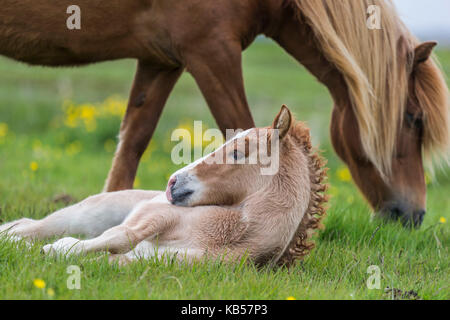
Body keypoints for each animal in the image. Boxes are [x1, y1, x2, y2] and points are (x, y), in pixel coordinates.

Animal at [0, 0, 448, 226]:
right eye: (414, 119)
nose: (414, 215)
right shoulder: (211, 50)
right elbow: (243, 128)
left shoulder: (162, 60)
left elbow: (133, 139)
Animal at [1, 107, 328, 268]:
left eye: (237, 152)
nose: (173, 183)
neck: (232, 235)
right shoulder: (154, 215)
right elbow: (122, 236)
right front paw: (56, 248)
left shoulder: (159, 263)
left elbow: (113, 258)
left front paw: (57, 251)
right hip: (86, 214)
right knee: (32, 227)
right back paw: (17, 240)